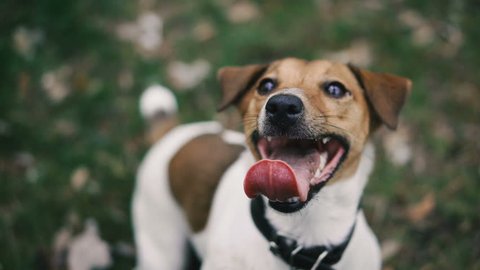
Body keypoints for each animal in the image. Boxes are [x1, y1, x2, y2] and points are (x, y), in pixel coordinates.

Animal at [132, 58, 412, 268]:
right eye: (265, 85)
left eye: (335, 89)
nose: (282, 105)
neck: (304, 234)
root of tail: (171, 132)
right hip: (160, 247)